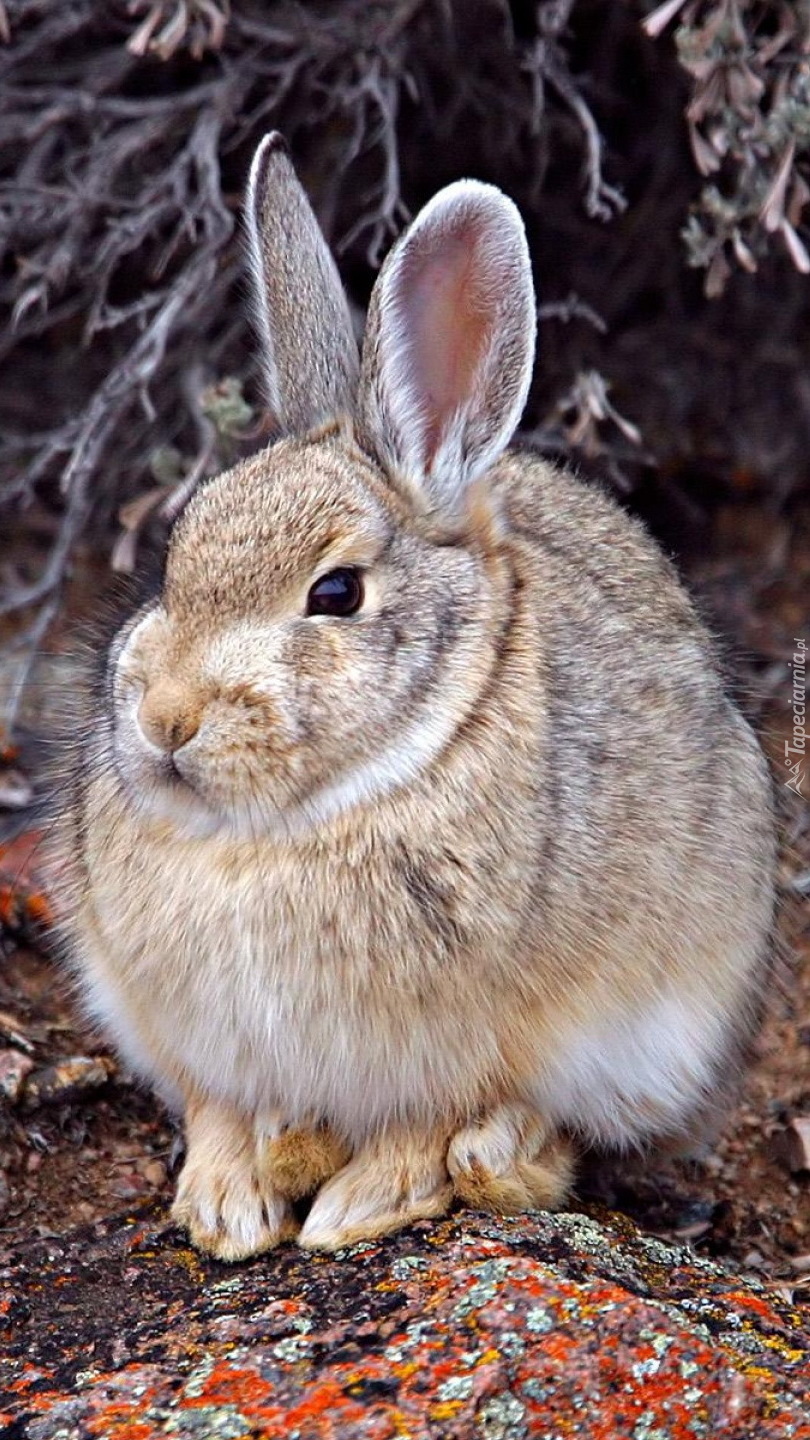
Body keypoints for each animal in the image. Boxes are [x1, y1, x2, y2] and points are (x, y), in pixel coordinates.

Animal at [49, 135, 766, 1261]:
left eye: (336, 593)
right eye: (175, 558)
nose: (166, 720)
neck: (279, 830)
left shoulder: (471, 1043)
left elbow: (421, 1126)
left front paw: (355, 1211)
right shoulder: (193, 1036)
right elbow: (215, 1111)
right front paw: (224, 1210)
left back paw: (487, 1159)